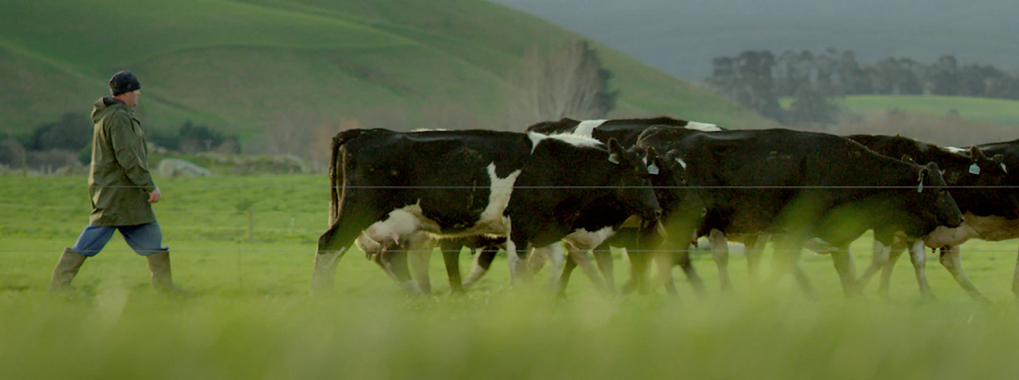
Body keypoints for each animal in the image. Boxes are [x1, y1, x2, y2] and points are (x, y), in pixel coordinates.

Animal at [311, 128, 660, 291]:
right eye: (640, 175)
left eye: (651, 172)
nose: (656, 211)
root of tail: (364, 132)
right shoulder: (521, 228)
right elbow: (522, 269)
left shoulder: (549, 231)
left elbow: (566, 262)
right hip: (358, 211)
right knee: (329, 245)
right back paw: (322, 296)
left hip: (398, 222)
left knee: (389, 258)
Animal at [635, 125, 961, 295]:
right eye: (940, 189)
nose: (958, 217)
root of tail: (653, 135)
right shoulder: (797, 230)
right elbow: (785, 265)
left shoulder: (835, 234)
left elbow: (845, 270)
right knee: (672, 256)